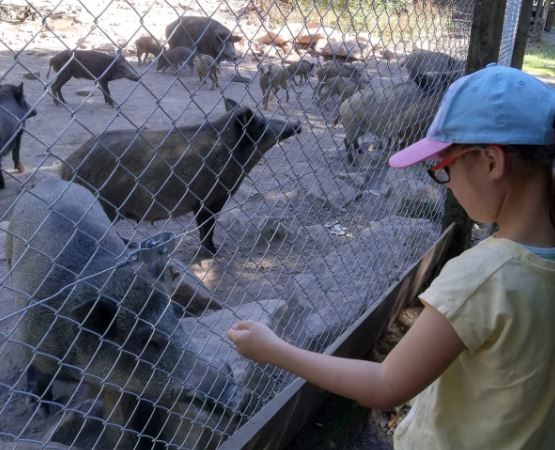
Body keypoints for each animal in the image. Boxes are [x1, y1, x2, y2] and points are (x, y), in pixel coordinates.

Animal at [5, 178, 237, 448]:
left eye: (177, 322)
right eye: (148, 340)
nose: (234, 392)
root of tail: (49, 181)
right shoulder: (37, 342)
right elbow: (38, 373)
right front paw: (42, 409)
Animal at [60, 98, 302, 253]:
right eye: (260, 123)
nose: (298, 124)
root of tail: (64, 170)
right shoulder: (211, 198)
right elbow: (207, 228)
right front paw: (215, 252)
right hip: (103, 206)